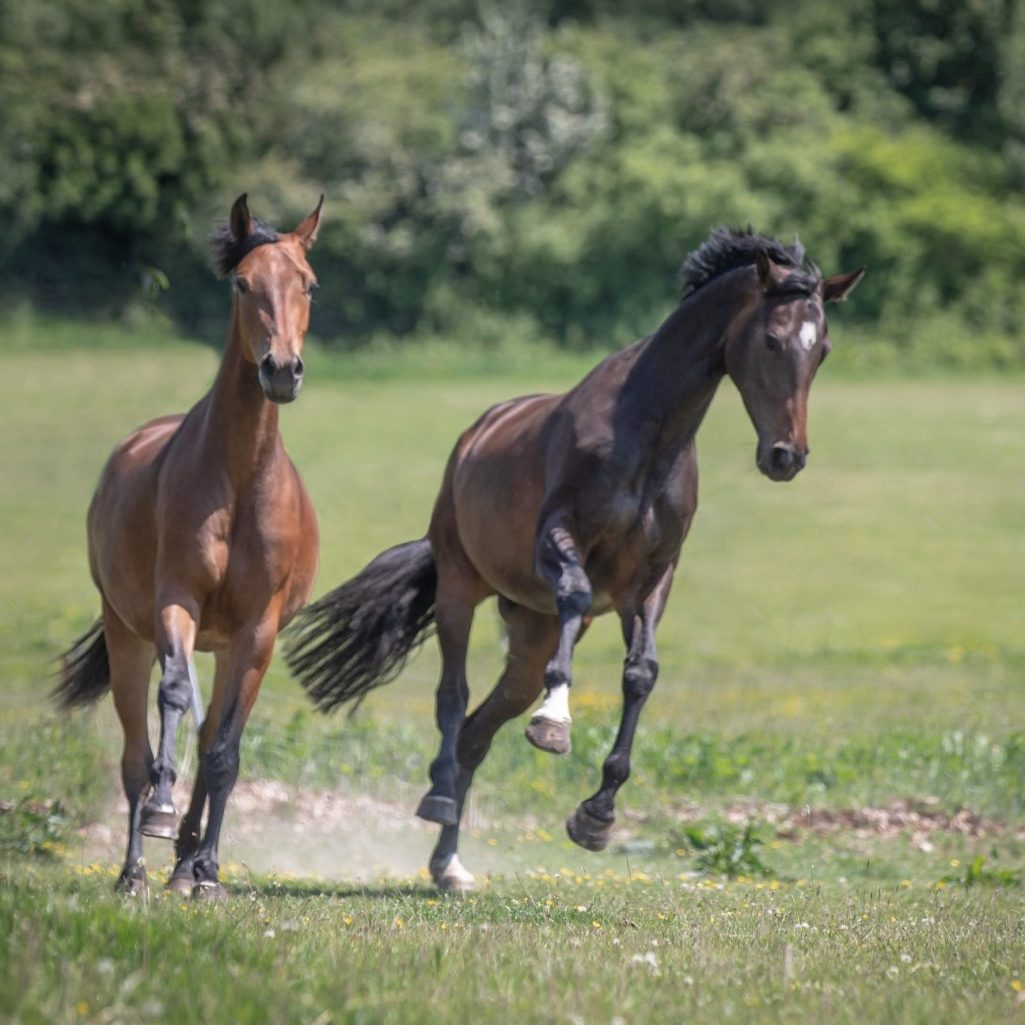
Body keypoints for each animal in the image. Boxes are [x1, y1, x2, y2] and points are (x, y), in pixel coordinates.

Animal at [54, 194, 324, 899]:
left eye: (308, 285)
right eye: (242, 284)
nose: (280, 371)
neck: (239, 477)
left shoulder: (257, 629)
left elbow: (224, 749)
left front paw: (205, 872)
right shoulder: (176, 602)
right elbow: (172, 698)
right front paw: (160, 813)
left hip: (226, 647)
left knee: (206, 741)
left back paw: (183, 864)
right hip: (128, 635)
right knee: (134, 751)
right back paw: (135, 868)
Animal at [285, 227, 864, 892]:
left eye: (822, 350)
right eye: (771, 339)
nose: (786, 456)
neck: (647, 433)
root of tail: (473, 438)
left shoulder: (652, 579)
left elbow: (641, 674)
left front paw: (596, 817)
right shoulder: (560, 541)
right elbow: (576, 595)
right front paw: (554, 722)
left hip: (530, 633)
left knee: (479, 731)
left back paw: (449, 863)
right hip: (460, 586)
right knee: (453, 698)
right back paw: (439, 799)